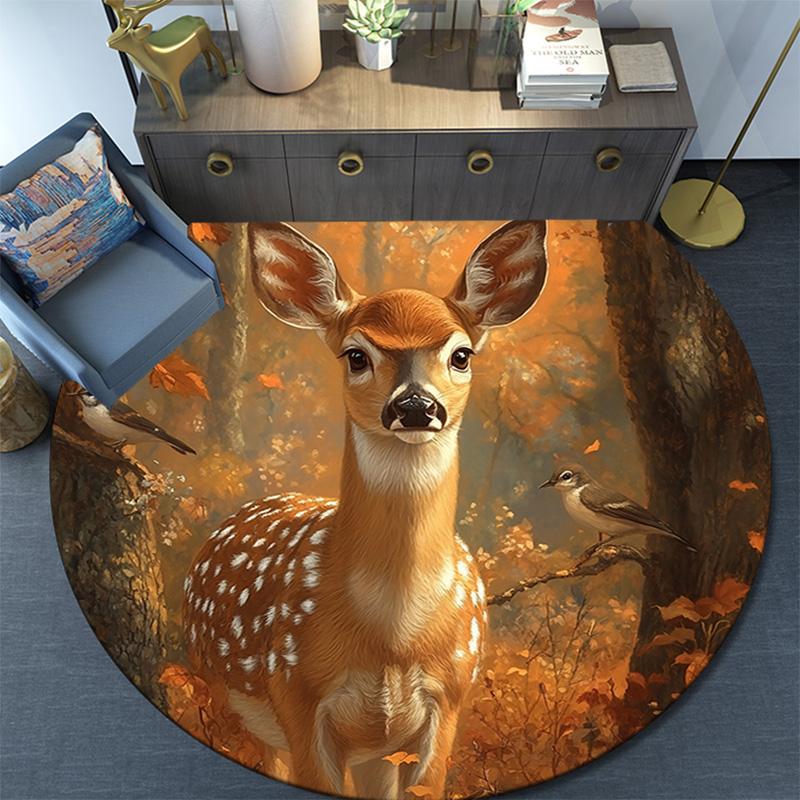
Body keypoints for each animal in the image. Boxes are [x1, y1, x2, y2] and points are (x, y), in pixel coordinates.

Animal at [182, 221, 549, 799]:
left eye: (462, 354)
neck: (391, 634)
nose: (416, 406)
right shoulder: (295, 691)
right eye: (356, 355)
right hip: (222, 694)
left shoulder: (448, 700)